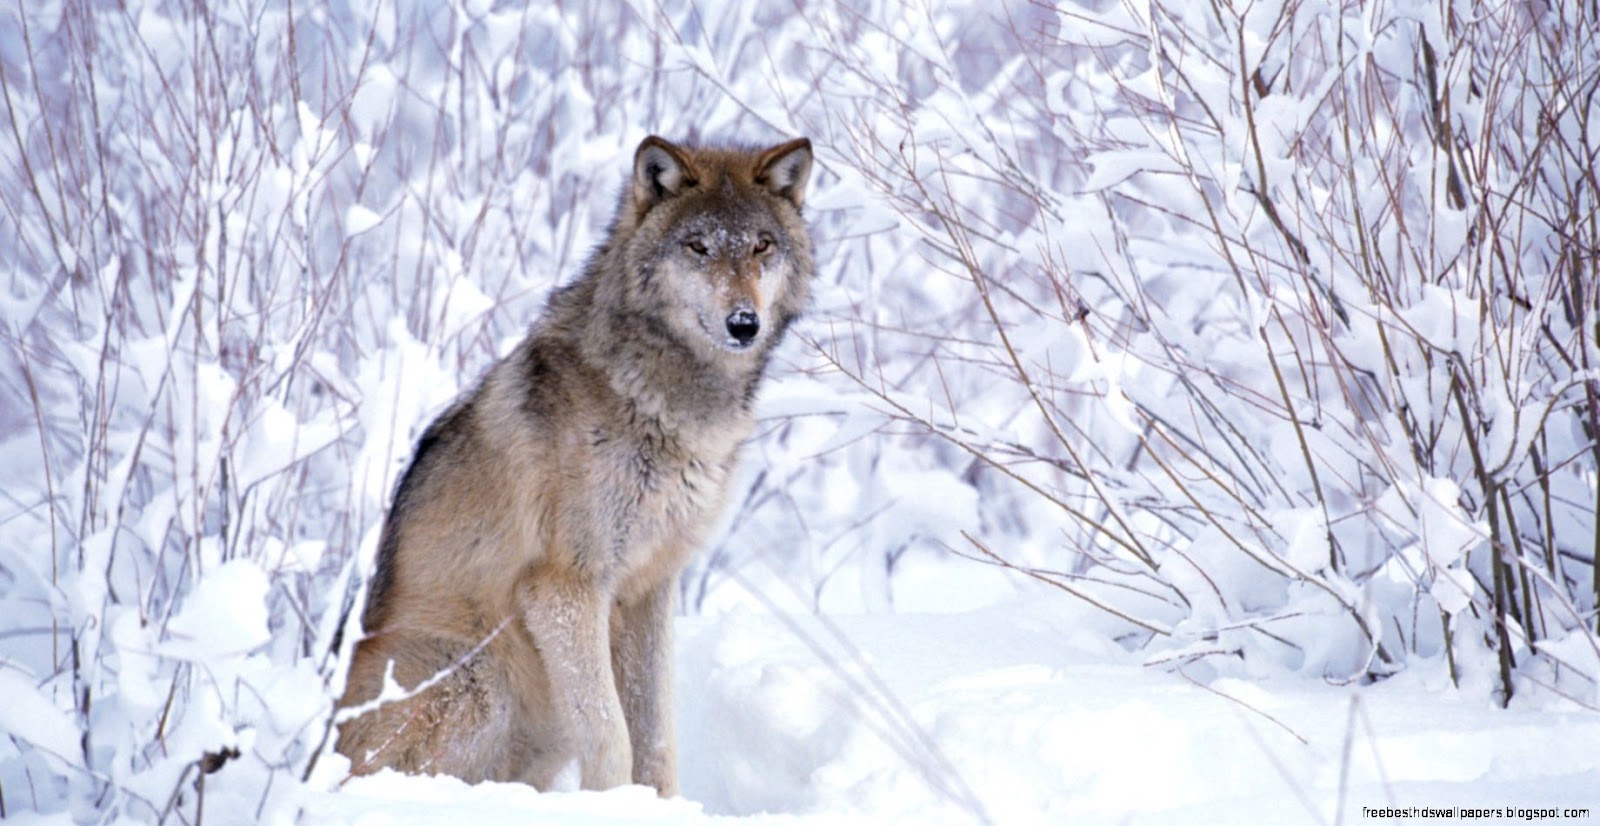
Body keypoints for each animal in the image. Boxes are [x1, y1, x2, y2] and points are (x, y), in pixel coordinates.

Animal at [333, 135, 815, 795]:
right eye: (699, 247)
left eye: (762, 246)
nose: (744, 323)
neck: (664, 400)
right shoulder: (564, 588)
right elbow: (612, 735)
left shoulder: (650, 589)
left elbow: (656, 737)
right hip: (480, 678)